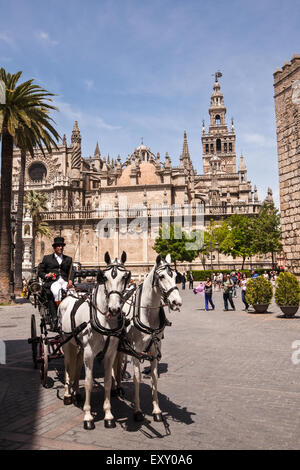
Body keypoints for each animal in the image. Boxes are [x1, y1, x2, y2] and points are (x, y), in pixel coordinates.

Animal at [57, 253, 130, 430]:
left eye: (125, 276)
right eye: (104, 277)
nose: (114, 309)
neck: (105, 319)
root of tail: (69, 295)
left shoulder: (110, 353)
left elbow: (108, 381)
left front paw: (109, 415)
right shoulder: (90, 352)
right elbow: (89, 382)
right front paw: (88, 416)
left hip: (79, 346)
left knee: (76, 365)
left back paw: (76, 393)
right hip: (66, 342)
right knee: (68, 365)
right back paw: (68, 394)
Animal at [117, 253, 183, 422]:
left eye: (176, 276)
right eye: (161, 276)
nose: (177, 302)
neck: (147, 312)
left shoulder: (154, 349)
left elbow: (154, 377)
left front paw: (157, 410)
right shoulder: (135, 350)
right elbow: (137, 378)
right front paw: (137, 410)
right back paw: (117, 387)